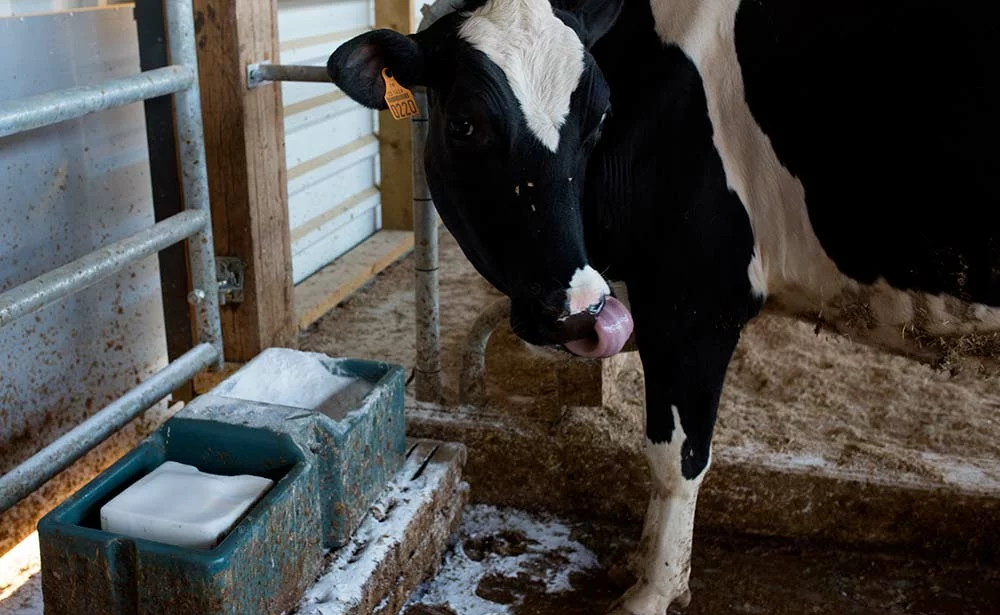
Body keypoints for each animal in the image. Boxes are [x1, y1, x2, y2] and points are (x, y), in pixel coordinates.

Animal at [330, 1, 1000, 612]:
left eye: (600, 117)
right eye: (465, 124)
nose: (581, 308)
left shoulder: (696, 300)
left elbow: (678, 457)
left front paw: (654, 590)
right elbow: (654, 439)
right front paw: (643, 564)